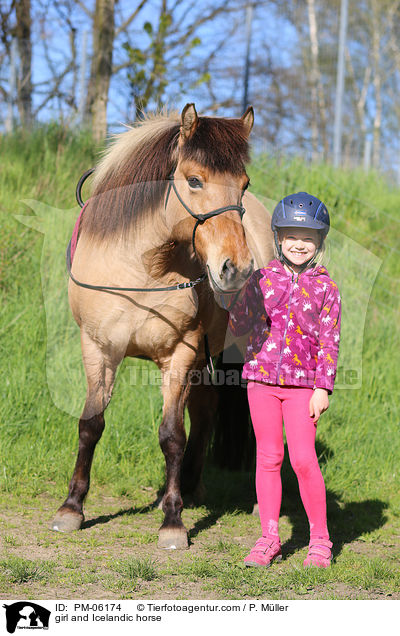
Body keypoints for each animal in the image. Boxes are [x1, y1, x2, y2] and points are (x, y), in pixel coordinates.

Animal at [51, 103, 272, 548]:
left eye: (243, 184)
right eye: (194, 180)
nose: (237, 269)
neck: (142, 269)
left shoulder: (180, 352)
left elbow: (172, 435)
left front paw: (173, 521)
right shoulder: (97, 348)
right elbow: (90, 424)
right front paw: (72, 508)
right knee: (205, 411)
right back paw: (192, 486)